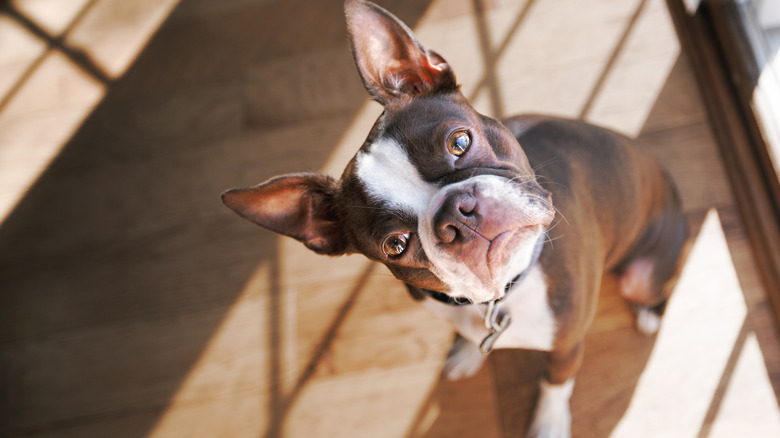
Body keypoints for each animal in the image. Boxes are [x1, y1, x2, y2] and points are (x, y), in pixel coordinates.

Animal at [221, 1, 688, 436]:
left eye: (460, 142)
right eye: (396, 244)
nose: (458, 215)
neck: (500, 296)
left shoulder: (567, 342)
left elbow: (556, 382)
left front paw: (550, 423)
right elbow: (466, 333)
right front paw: (464, 351)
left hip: (639, 276)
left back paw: (649, 313)